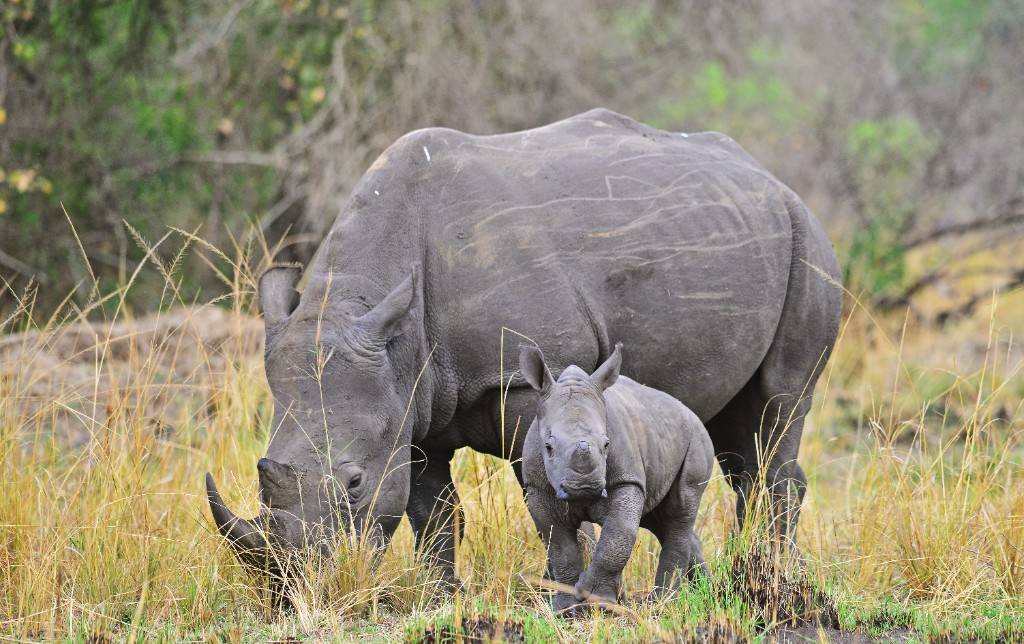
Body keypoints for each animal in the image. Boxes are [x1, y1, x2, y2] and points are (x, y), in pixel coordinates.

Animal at [520, 343, 715, 611]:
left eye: (606, 445)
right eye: (548, 447)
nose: (585, 488)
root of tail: (688, 411)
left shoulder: (626, 479)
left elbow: (618, 537)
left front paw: (597, 600)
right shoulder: (537, 487)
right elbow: (559, 545)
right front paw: (565, 608)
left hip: (696, 437)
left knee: (680, 510)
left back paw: (663, 602)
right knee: (657, 517)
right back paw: (704, 593)